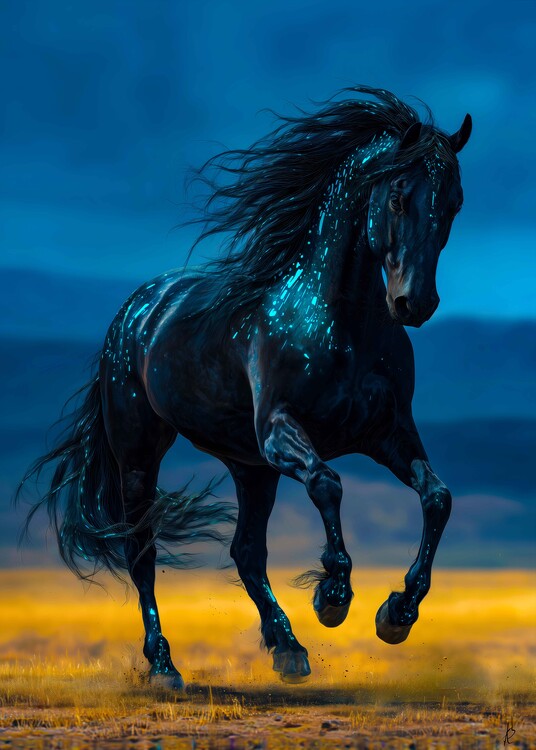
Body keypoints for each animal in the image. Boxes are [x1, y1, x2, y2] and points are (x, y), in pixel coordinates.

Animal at [18, 86, 472, 687]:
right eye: (398, 197)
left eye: (454, 203)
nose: (414, 304)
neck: (340, 323)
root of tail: (136, 311)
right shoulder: (280, 433)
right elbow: (328, 484)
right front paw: (333, 596)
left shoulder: (388, 434)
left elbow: (437, 497)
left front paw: (397, 613)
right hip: (141, 454)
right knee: (143, 551)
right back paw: (164, 665)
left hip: (250, 469)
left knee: (247, 552)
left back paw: (288, 647)